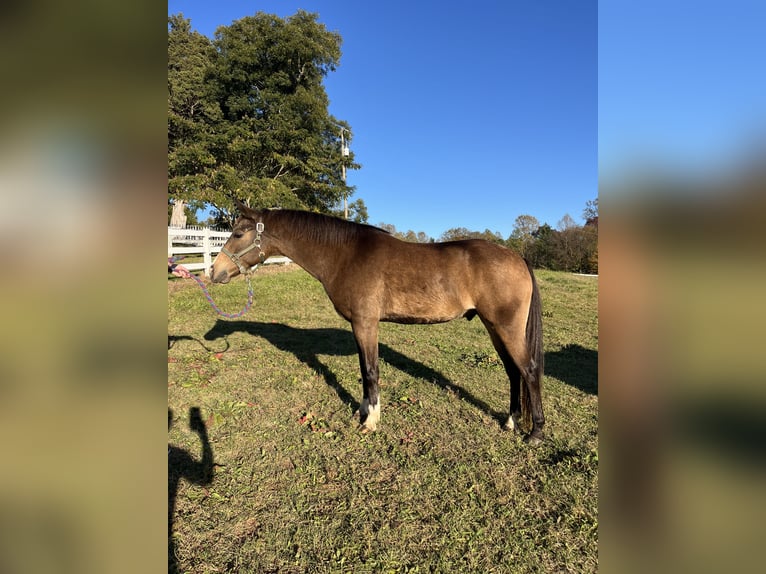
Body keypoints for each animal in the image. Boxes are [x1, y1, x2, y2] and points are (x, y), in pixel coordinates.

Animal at [210, 205, 544, 448]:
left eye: (238, 233)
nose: (214, 271)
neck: (344, 254)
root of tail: (517, 256)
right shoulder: (361, 327)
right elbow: (363, 370)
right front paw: (363, 411)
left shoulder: (365, 323)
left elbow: (371, 371)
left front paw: (370, 420)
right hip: (494, 328)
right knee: (513, 372)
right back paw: (511, 421)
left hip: (505, 327)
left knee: (528, 370)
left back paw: (535, 432)